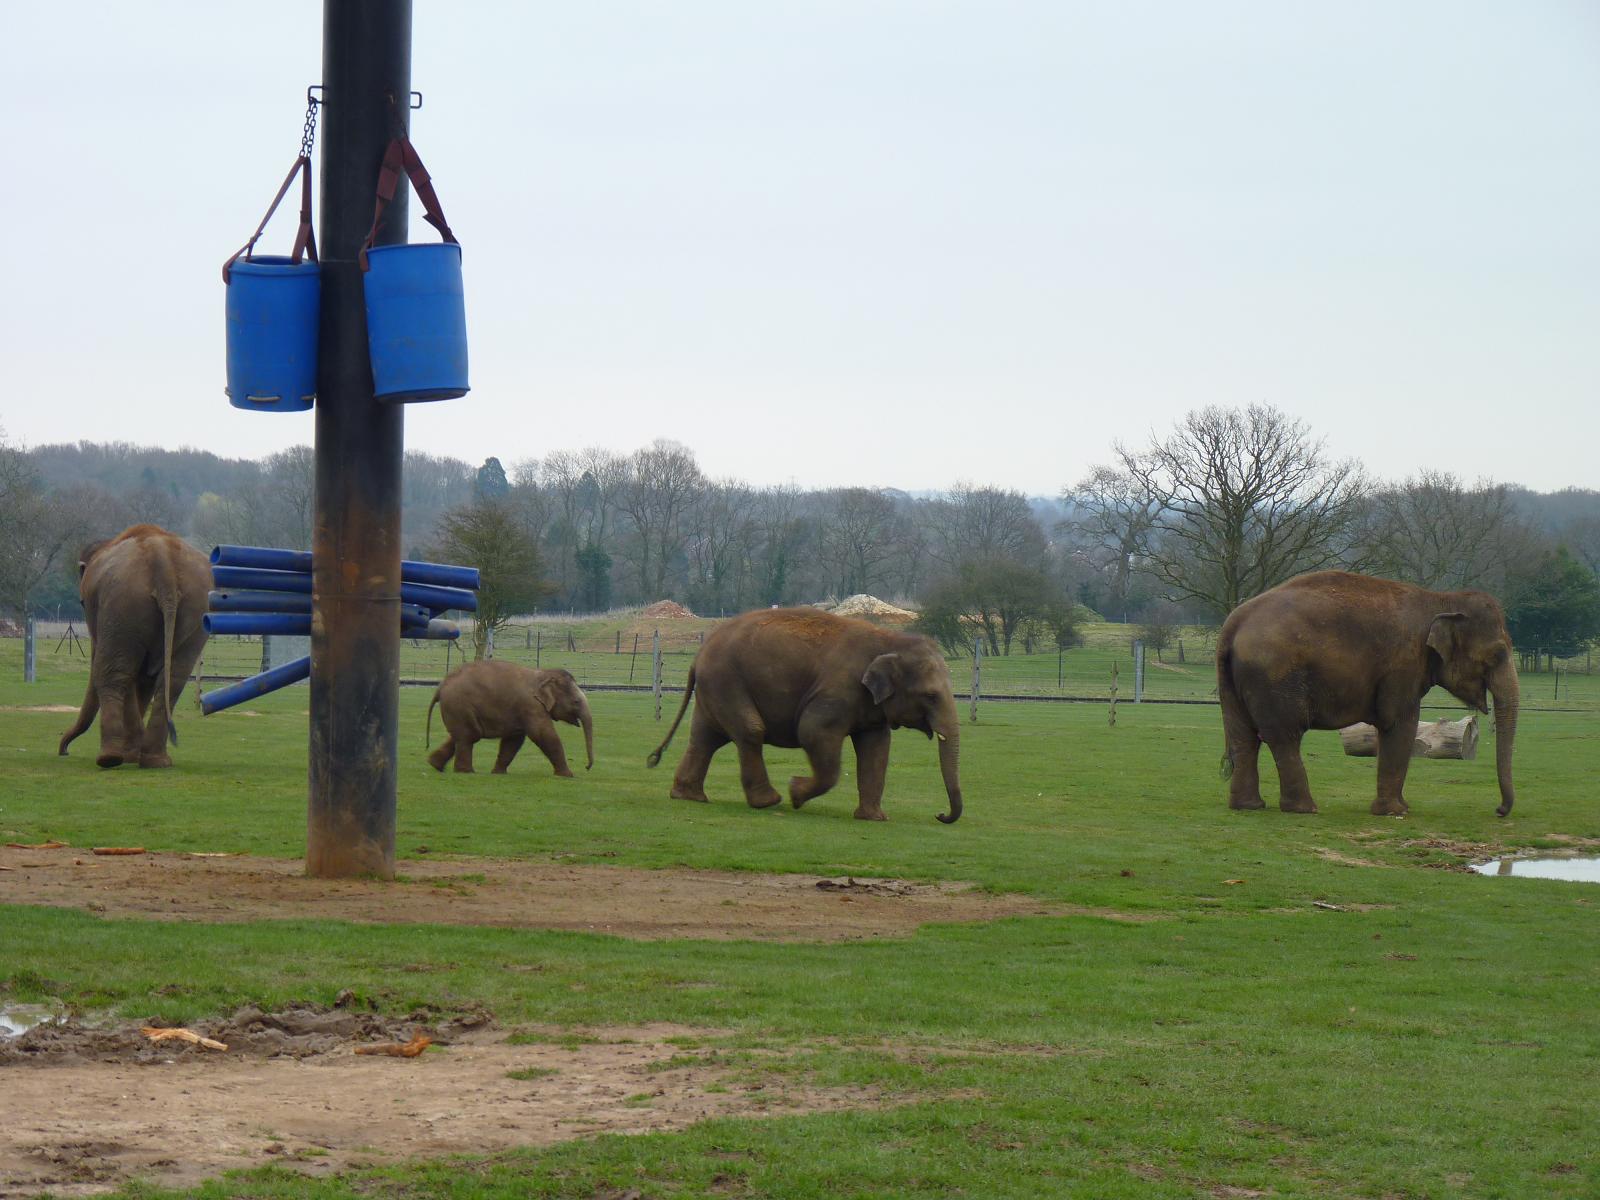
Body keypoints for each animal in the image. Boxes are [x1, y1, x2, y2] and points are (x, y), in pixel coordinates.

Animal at [58, 524, 212, 769]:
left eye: (83, 603)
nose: (64, 751)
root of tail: (162, 559)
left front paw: (129, 756)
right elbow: (145, 679)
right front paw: (133, 754)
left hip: (123, 604)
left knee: (115, 674)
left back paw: (110, 759)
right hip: (196, 609)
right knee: (173, 680)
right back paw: (155, 761)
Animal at [426, 660, 594, 776]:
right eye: (576, 701)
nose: (586, 767)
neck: (542, 674)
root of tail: (441, 686)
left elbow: (514, 740)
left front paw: (498, 773)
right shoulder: (531, 706)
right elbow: (543, 735)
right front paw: (568, 775)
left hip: (457, 709)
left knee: (461, 735)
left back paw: (435, 765)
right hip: (459, 704)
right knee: (468, 736)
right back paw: (466, 772)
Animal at [646, 607, 963, 823]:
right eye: (931, 696)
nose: (939, 814)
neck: (890, 639)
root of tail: (698, 655)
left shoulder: (871, 707)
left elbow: (877, 749)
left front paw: (874, 818)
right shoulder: (838, 689)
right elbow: (812, 731)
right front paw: (795, 792)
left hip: (715, 689)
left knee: (705, 738)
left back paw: (689, 796)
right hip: (726, 681)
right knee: (750, 730)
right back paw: (769, 801)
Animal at [1216, 570, 1519, 817]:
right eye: (1497, 655)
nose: (1499, 810)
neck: (1440, 600)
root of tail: (1232, 625)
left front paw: (1401, 808)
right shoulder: (1403, 664)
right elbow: (1400, 723)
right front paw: (1395, 812)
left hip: (1235, 683)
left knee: (1243, 736)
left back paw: (1249, 806)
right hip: (1274, 677)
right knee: (1284, 735)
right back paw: (1304, 809)